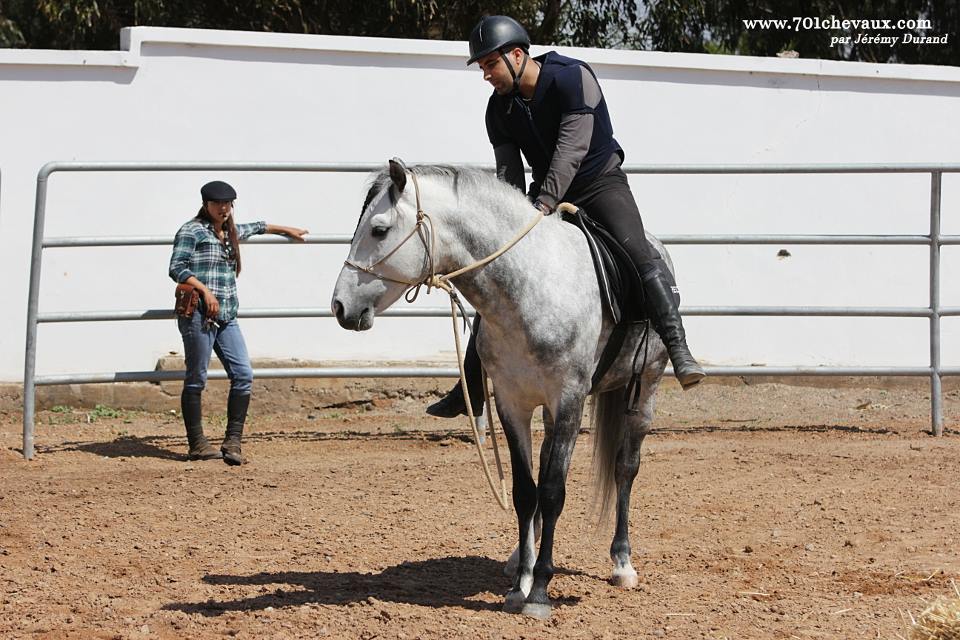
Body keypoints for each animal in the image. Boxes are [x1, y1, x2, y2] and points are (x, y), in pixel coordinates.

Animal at [334, 161, 672, 620]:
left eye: (379, 230)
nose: (340, 306)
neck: (531, 287)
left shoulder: (568, 400)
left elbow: (553, 491)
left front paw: (540, 591)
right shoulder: (513, 402)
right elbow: (525, 491)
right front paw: (519, 584)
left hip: (644, 390)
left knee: (625, 468)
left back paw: (622, 562)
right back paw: (518, 558)